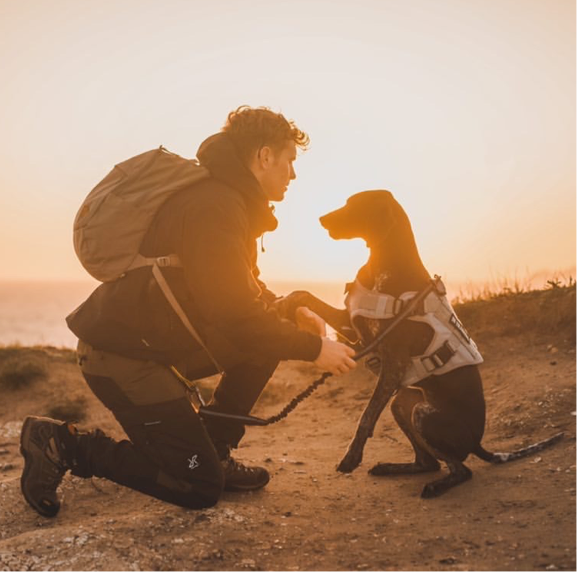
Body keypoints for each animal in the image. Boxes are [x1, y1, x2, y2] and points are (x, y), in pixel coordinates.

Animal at [284, 191, 564, 498]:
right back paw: (395, 468)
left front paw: (351, 456)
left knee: (460, 470)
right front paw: (284, 305)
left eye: (354, 204)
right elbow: (304, 294)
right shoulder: (355, 329)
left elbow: (367, 414)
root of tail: (477, 443)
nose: (321, 219)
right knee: (428, 462)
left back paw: (436, 486)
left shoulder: (392, 360)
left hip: (423, 414)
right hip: (403, 403)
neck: (385, 263)